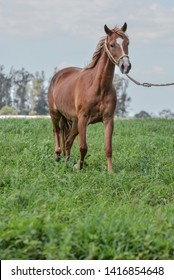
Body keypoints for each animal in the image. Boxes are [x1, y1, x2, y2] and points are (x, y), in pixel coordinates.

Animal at [47, 23, 130, 172]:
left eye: (127, 43)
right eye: (112, 45)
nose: (126, 66)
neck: (99, 87)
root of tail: (58, 76)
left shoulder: (108, 119)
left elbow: (108, 148)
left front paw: (110, 172)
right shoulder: (83, 119)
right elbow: (83, 147)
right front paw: (79, 168)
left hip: (74, 122)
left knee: (67, 142)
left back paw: (67, 162)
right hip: (55, 114)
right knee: (57, 133)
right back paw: (57, 157)